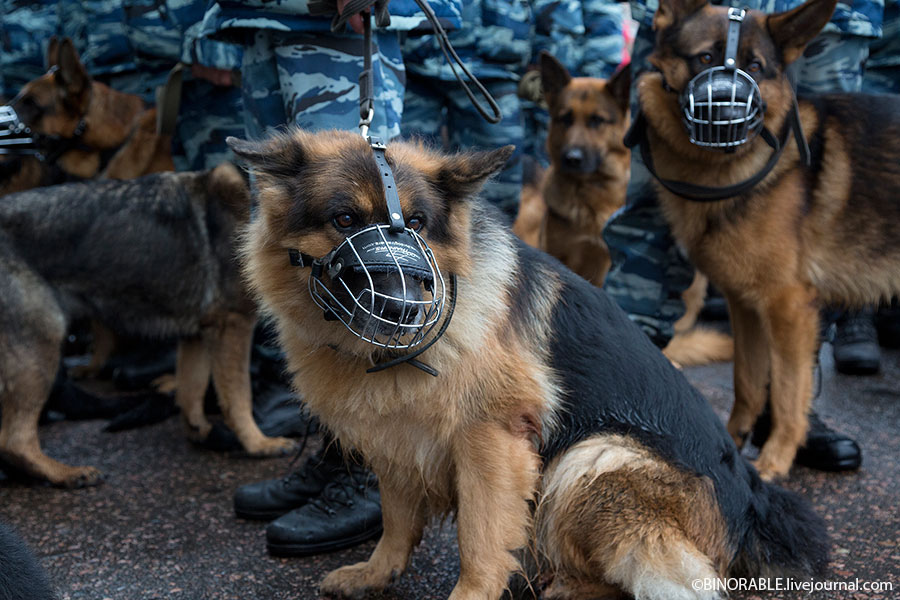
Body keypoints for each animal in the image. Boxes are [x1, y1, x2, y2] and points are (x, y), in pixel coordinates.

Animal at [0, 164, 296, 488]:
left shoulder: (198, 335)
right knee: (15, 440)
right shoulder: (234, 325)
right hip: (41, 346)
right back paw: (65, 473)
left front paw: (201, 432)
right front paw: (258, 444)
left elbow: (191, 391)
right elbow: (238, 396)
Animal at [236, 130, 828, 600]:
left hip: (592, 459)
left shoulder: (492, 442)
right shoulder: (396, 441)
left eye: (419, 224)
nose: (404, 310)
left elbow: (480, 540)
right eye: (344, 220)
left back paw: (567, 587)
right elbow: (396, 522)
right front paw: (377, 573)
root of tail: (752, 505)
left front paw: (471, 595)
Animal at [632, 0, 900, 482]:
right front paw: (732, 444)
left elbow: (789, 391)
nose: (724, 112)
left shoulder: (788, 307)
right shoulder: (745, 306)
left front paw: (774, 461)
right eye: (704, 57)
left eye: (755, 67)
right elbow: (749, 382)